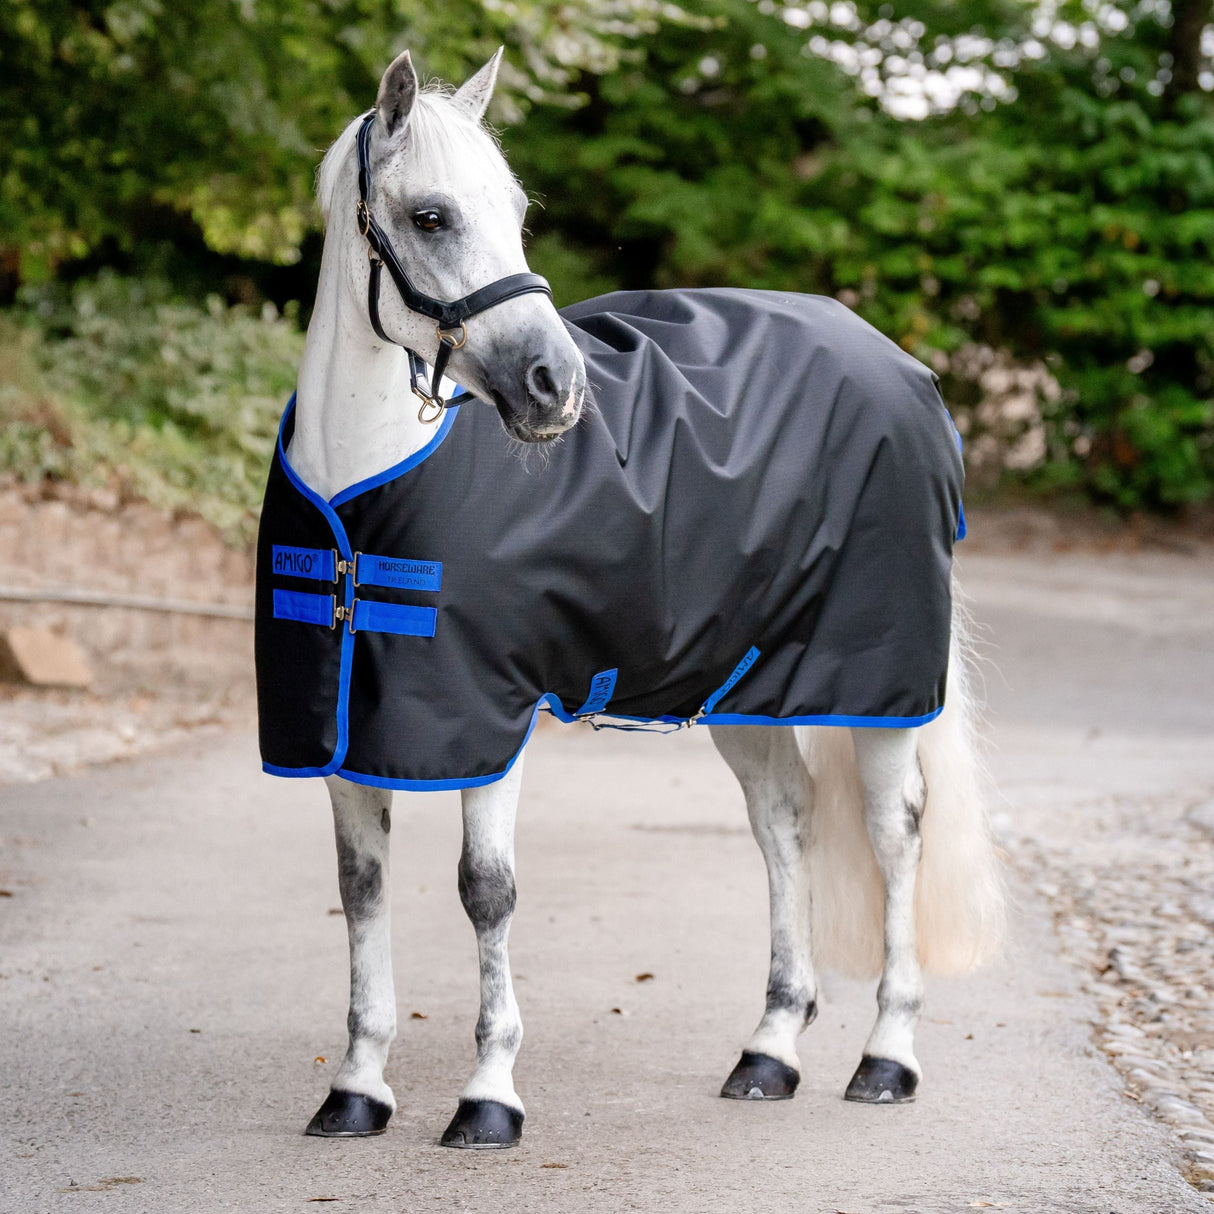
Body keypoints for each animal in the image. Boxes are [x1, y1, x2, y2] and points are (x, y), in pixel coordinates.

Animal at [256, 48, 1005, 1149]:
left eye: (516, 209)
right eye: (432, 215)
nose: (554, 386)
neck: (363, 494)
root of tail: (904, 369)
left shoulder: (493, 719)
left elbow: (486, 891)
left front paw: (489, 1094)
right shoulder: (347, 730)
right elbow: (362, 893)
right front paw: (356, 1087)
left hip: (878, 685)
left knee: (893, 829)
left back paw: (886, 1055)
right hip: (746, 686)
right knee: (783, 820)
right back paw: (769, 1050)